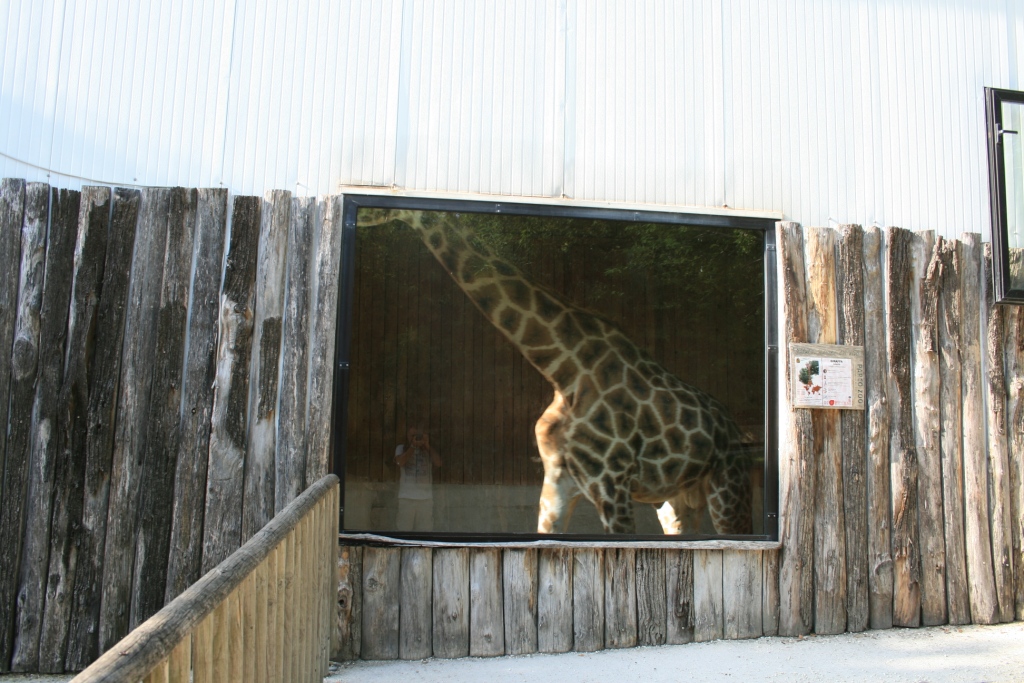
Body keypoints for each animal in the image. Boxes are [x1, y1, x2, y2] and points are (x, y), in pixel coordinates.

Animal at [357, 208, 753, 535]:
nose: (361, 213)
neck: (564, 372)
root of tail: (736, 428)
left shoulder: (612, 484)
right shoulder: (557, 481)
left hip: (728, 487)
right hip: (677, 498)